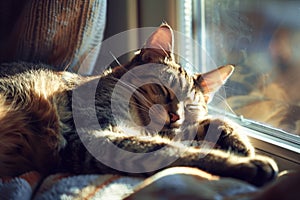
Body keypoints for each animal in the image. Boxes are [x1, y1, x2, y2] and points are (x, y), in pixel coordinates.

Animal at [0, 24, 276, 187]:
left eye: (191, 106)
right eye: (163, 89)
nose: (175, 116)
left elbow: (211, 123)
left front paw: (239, 143)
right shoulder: (97, 137)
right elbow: (176, 151)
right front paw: (246, 163)